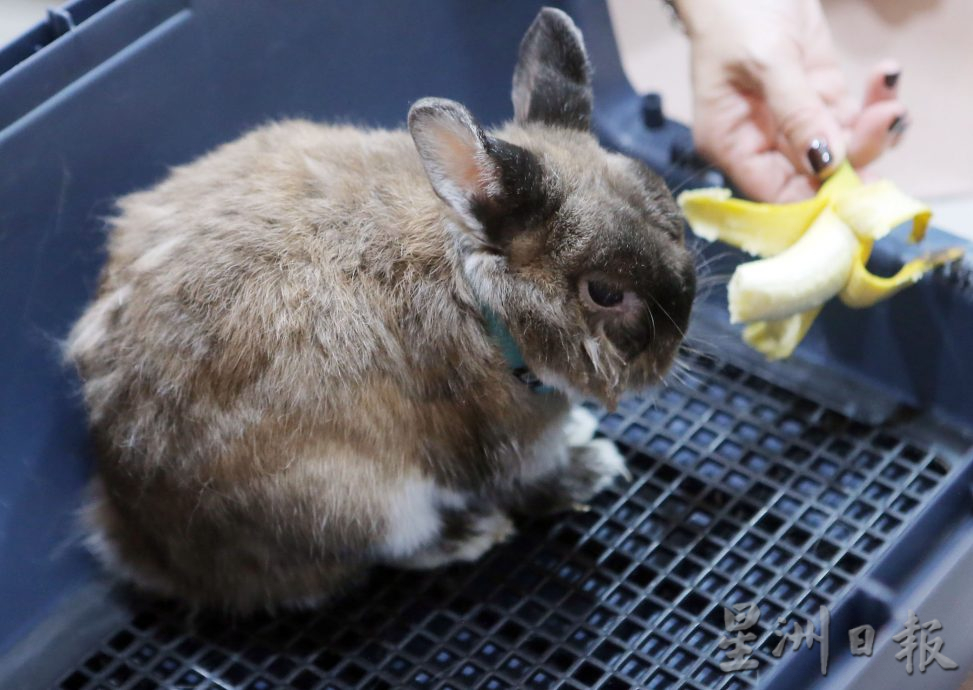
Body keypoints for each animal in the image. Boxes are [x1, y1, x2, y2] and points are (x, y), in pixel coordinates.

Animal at [64, 5, 696, 608]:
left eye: (673, 216)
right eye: (605, 293)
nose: (669, 354)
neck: (481, 302)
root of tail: (144, 544)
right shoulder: (510, 445)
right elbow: (533, 484)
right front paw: (595, 468)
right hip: (363, 502)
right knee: (390, 552)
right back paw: (471, 533)